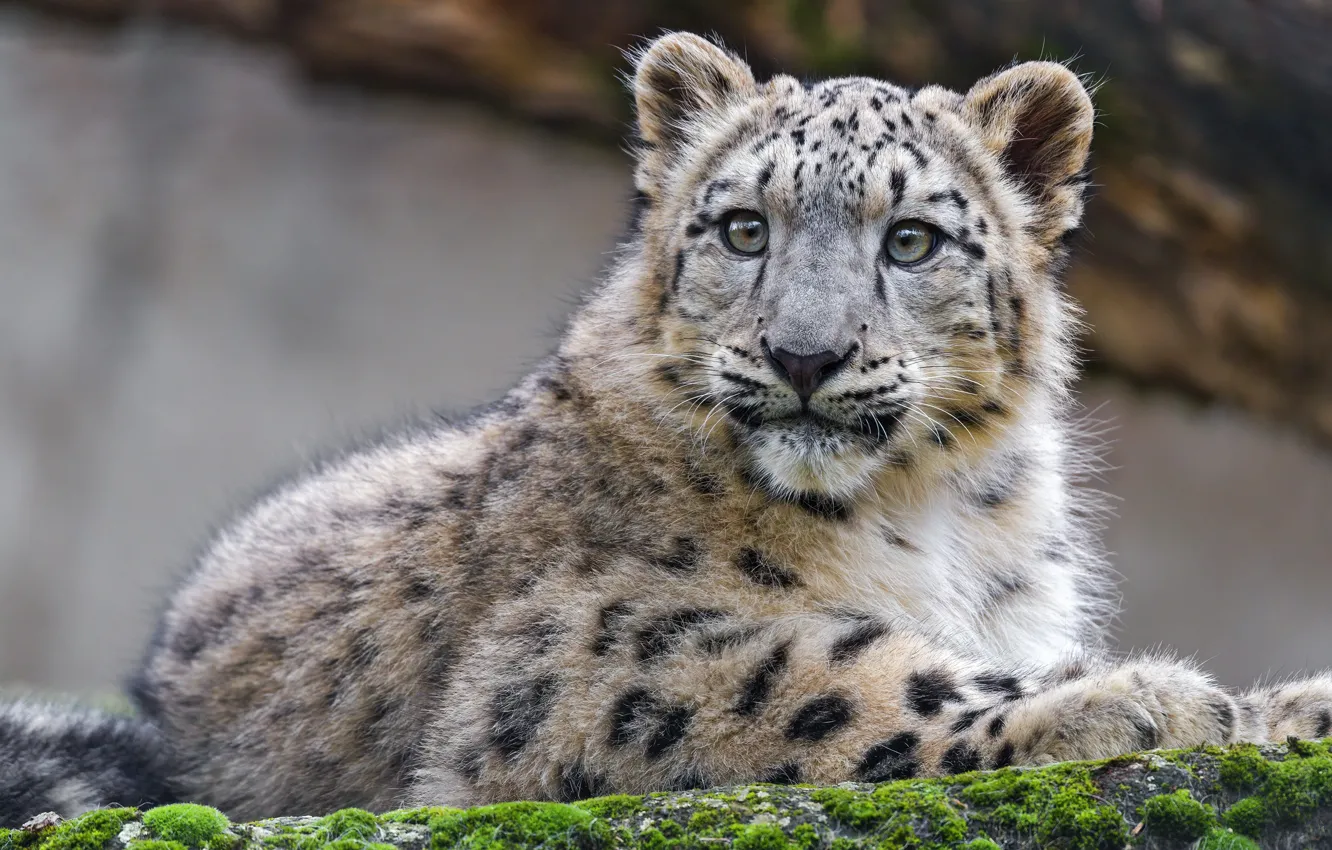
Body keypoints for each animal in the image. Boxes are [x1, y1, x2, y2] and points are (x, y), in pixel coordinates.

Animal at [4, 31, 1331, 827]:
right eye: (744, 227)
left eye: (912, 239)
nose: (805, 355)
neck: (932, 511)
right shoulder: (587, 655)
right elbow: (846, 676)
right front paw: (1142, 701)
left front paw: (1283, 706)